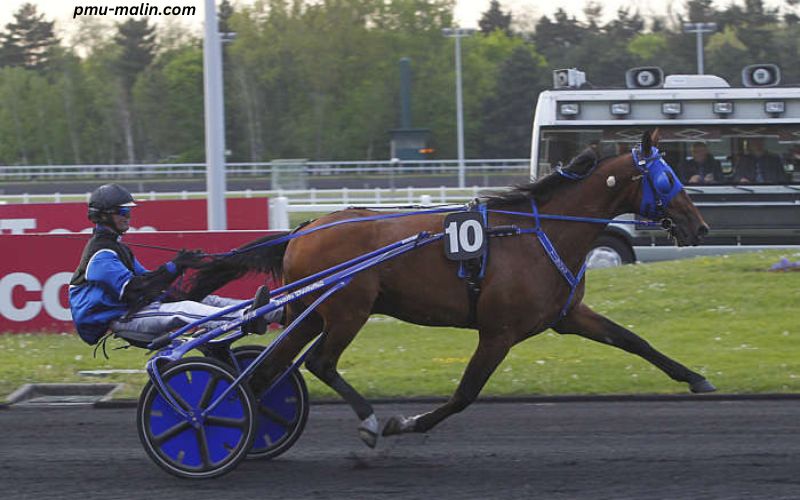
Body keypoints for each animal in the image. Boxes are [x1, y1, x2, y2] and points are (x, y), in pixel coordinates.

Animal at [184, 130, 716, 450]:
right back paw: (366, 420)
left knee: (267, 370)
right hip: (347, 310)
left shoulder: (567, 315)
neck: (540, 232)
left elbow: (633, 340)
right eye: (667, 177)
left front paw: (695, 378)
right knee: (319, 362)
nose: (700, 226)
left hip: (314, 311)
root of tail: (303, 229)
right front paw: (405, 422)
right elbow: (464, 394)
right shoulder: (499, 332)